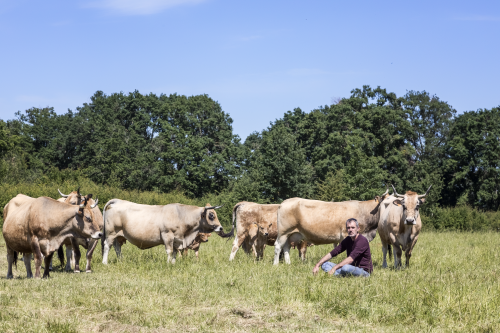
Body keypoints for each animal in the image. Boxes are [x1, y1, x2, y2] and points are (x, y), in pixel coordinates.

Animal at [103, 198, 232, 264]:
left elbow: (175, 252)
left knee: (117, 247)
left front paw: (173, 264)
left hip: (119, 235)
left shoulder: (177, 239)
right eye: (211, 215)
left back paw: (121, 261)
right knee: (107, 246)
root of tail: (117, 201)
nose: (221, 228)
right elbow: (169, 251)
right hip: (111, 233)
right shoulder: (167, 235)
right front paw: (168, 264)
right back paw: (105, 262)